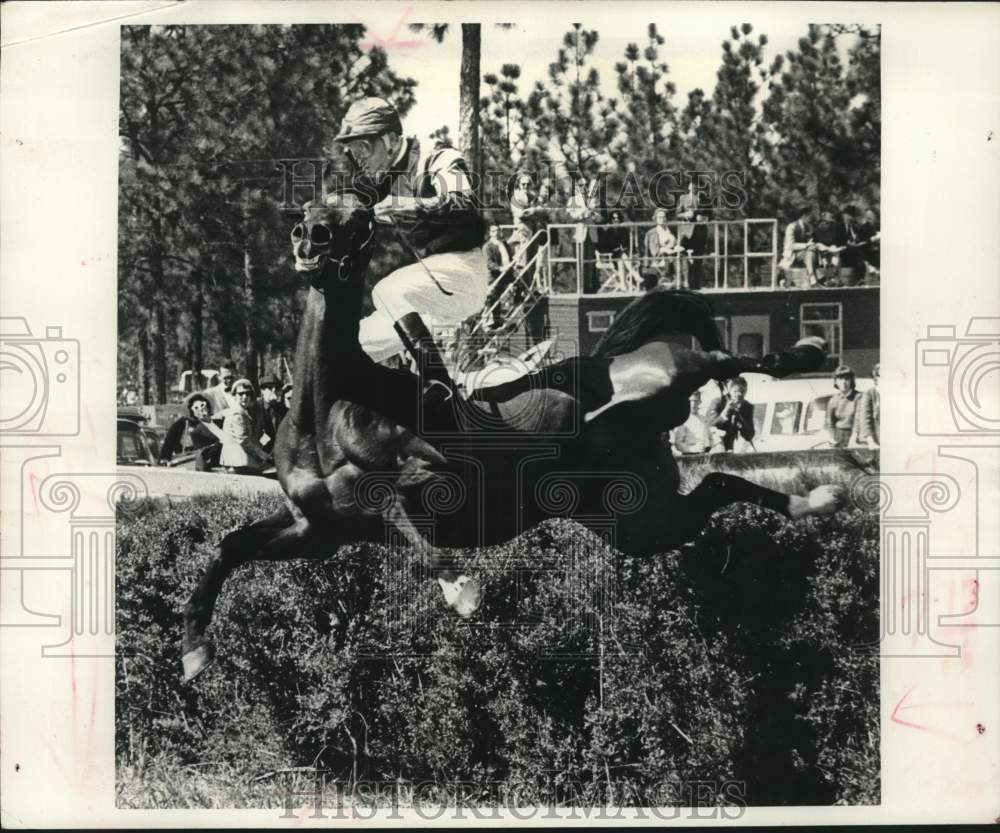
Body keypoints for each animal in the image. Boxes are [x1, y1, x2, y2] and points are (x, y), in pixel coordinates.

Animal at [182, 193, 844, 684]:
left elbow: (398, 508)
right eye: (311, 210)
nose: (310, 238)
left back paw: (806, 354)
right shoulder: (317, 530)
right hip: (632, 516)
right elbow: (228, 548)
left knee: (720, 358)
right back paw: (812, 498)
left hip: (669, 376)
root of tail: (613, 361)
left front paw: (461, 591)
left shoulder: (430, 481)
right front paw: (193, 651)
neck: (326, 408)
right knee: (717, 483)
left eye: (359, 220)